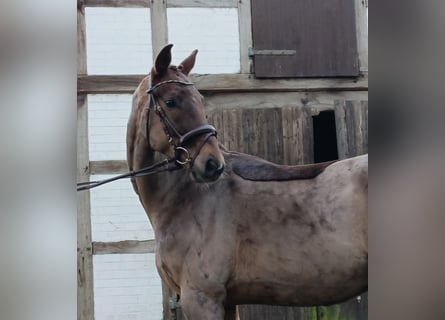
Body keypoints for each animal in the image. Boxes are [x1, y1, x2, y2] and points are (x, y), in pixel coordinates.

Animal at [126, 43, 366, 318]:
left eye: (200, 100)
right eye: (171, 101)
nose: (212, 164)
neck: (184, 199)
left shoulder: (201, 298)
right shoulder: (227, 302)